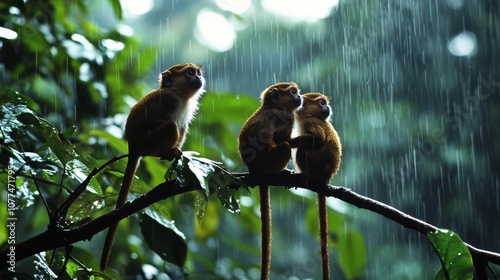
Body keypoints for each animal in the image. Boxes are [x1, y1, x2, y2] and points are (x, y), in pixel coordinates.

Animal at [99, 63, 205, 270]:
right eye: (190, 73)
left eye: (198, 73)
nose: (198, 78)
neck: (179, 93)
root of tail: (134, 147)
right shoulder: (171, 100)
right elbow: (153, 123)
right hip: (148, 143)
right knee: (172, 126)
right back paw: (166, 151)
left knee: (181, 126)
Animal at [237, 82, 302, 278]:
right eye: (293, 92)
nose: (300, 96)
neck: (273, 106)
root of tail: (255, 171)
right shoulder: (286, 118)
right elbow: (285, 140)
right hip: (270, 163)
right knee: (285, 146)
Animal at [288, 92, 342, 280]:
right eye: (322, 103)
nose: (328, 107)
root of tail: (325, 178)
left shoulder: (311, 122)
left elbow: (316, 139)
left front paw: (288, 141)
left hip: (314, 165)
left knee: (301, 151)